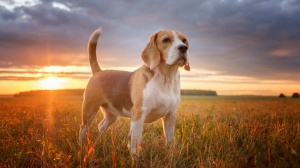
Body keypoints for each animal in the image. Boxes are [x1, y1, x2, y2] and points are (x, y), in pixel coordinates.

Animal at [79, 26, 190, 154]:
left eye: (184, 40)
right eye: (166, 40)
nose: (184, 48)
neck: (166, 78)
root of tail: (99, 72)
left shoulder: (170, 117)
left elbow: (170, 140)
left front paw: (171, 155)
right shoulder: (138, 116)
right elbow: (136, 140)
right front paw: (135, 156)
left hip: (111, 115)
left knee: (101, 126)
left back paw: (101, 142)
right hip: (89, 110)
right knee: (83, 129)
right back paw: (81, 146)